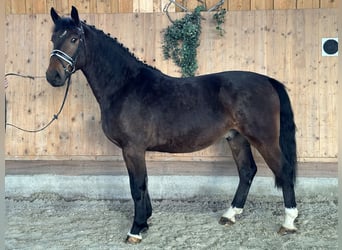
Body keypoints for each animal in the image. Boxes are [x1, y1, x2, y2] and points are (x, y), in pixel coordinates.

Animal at [46, 6, 300, 243]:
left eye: (74, 39)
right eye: (53, 39)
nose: (53, 76)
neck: (125, 86)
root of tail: (268, 81)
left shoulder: (132, 149)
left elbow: (137, 186)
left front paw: (135, 230)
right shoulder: (135, 151)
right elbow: (144, 183)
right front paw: (146, 221)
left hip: (264, 139)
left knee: (283, 170)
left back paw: (288, 222)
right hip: (236, 137)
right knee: (247, 171)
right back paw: (230, 215)